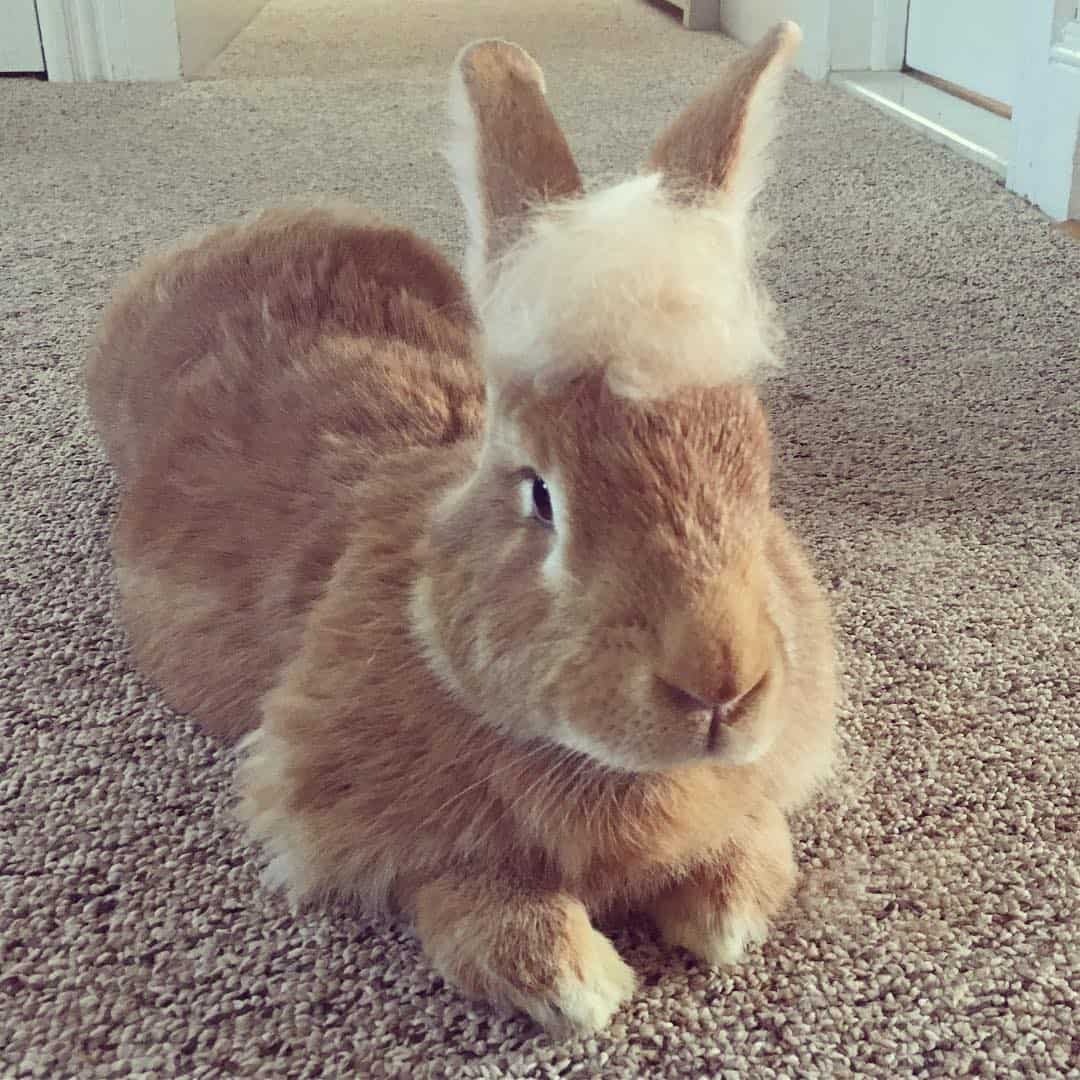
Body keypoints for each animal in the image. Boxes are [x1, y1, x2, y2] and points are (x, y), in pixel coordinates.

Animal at [88, 23, 838, 1036]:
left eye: (757, 473)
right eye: (544, 497)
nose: (720, 683)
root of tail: (248, 226)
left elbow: (752, 839)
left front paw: (726, 911)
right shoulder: (344, 810)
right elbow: (451, 887)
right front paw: (575, 980)